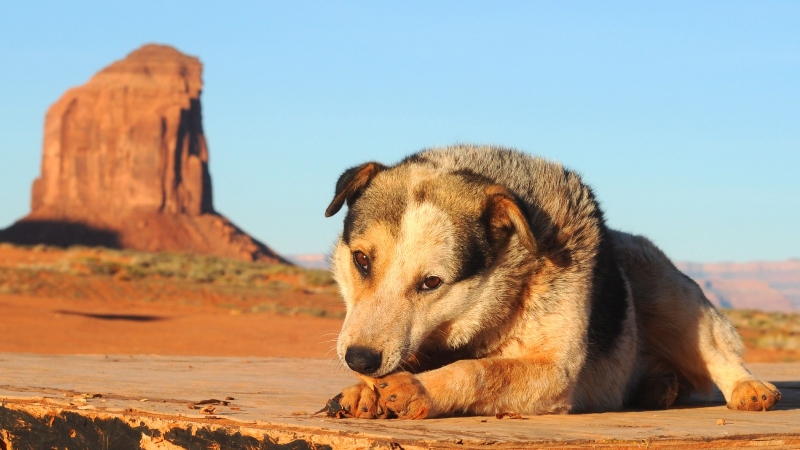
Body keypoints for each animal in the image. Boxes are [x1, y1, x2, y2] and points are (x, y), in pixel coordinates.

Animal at [324, 145, 780, 418]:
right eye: (361, 260)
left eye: (431, 282)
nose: (359, 359)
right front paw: (363, 391)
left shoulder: (555, 372)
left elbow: (481, 371)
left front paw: (420, 388)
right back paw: (658, 387)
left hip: (664, 288)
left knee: (717, 352)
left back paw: (749, 388)